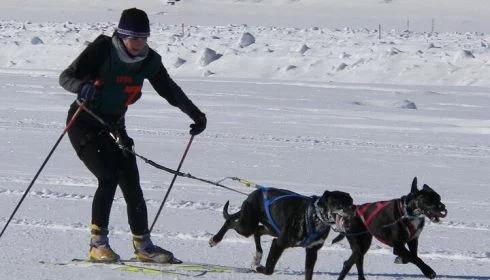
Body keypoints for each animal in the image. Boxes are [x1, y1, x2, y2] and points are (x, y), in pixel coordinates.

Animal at [211, 186, 356, 280]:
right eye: (338, 202)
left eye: (351, 201)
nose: (353, 208)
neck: (315, 217)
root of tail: (253, 193)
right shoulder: (279, 243)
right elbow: (269, 269)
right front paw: (256, 267)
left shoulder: (312, 251)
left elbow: (308, 273)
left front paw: (256, 264)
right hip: (247, 226)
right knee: (230, 222)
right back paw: (215, 239)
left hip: (271, 229)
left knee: (258, 231)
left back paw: (258, 256)